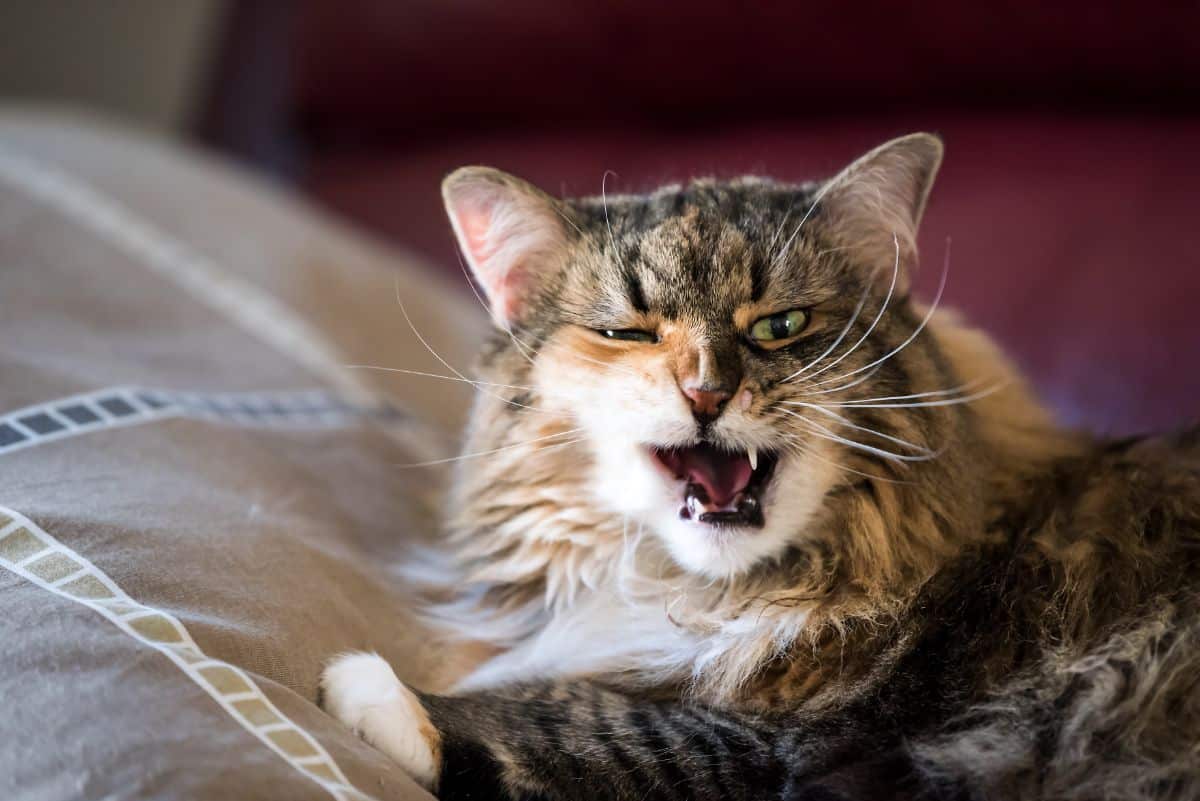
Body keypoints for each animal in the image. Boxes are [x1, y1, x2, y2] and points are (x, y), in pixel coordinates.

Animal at [319, 134, 1200, 796]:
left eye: (781, 325)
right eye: (628, 333)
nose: (707, 391)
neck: (713, 597)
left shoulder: (806, 741)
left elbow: (583, 721)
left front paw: (367, 689)